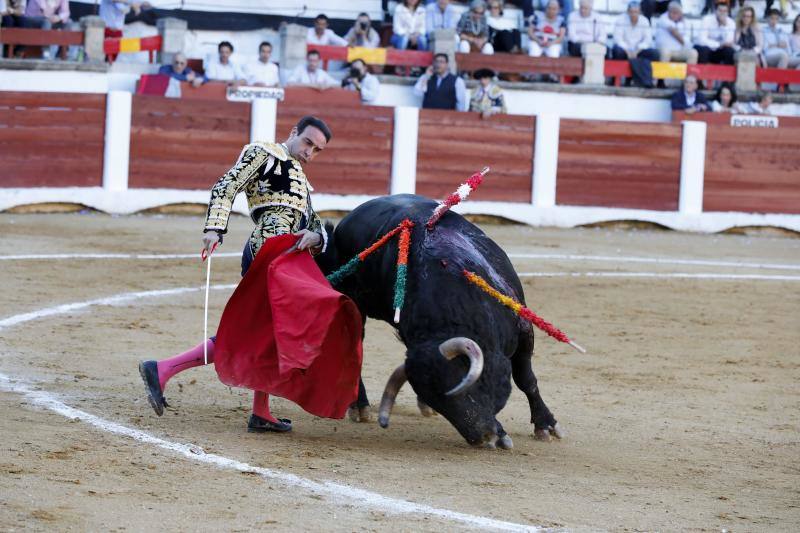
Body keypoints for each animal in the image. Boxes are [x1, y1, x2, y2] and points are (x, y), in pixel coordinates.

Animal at [314, 195, 564, 448]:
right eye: (441, 403)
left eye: (467, 386)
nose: (481, 437)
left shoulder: (524, 329)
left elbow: (526, 379)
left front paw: (545, 425)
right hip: (354, 301)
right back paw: (360, 406)